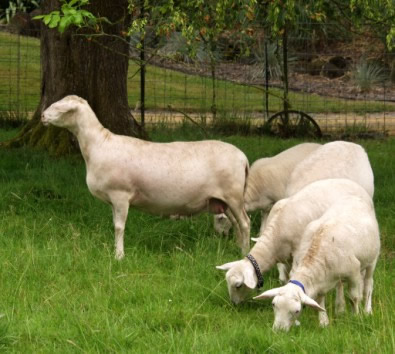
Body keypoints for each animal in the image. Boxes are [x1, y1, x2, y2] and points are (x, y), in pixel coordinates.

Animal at [41, 95, 251, 258]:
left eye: (60, 107)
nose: (42, 116)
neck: (99, 145)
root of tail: (243, 158)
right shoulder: (113, 200)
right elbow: (115, 225)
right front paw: (115, 252)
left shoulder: (120, 194)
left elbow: (119, 227)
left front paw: (119, 256)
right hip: (224, 200)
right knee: (236, 224)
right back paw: (237, 249)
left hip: (233, 196)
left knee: (245, 223)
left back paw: (245, 253)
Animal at [217, 178, 374, 306]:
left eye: (238, 285)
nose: (234, 304)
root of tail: (356, 185)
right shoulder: (285, 258)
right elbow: (285, 278)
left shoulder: (298, 253)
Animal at [255, 195, 382, 330]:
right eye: (274, 304)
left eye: (297, 311)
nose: (278, 330)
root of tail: (354, 198)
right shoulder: (320, 279)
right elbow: (320, 300)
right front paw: (323, 322)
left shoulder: (353, 273)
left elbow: (354, 297)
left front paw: (356, 316)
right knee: (341, 285)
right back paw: (340, 309)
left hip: (372, 260)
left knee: (368, 284)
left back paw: (367, 310)